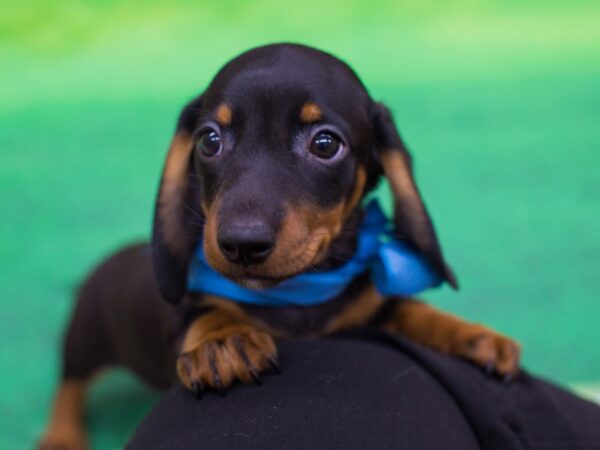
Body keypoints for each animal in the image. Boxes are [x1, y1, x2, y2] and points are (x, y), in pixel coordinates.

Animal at [41, 43, 520, 450]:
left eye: (325, 144)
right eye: (209, 140)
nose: (241, 244)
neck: (296, 291)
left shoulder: (365, 310)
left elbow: (405, 307)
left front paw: (469, 334)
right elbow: (203, 309)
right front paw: (223, 339)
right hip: (84, 336)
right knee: (68, 384)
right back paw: (60, 436)